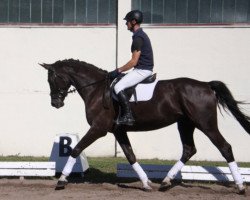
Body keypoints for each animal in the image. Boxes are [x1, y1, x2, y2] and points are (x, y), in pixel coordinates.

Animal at [40, 58, 249, 194]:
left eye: (52, 79)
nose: (55, 103)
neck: (97, 89)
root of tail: (206, 85)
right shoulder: (118, 131)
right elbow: (131, 156)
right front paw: (146, 183)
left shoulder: (98, 129)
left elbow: (76, 149)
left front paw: (61, 180)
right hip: (185, 124)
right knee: (189, 150)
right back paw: (165, 182)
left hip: (205, 124)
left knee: (225, 147)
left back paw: (240, 186)